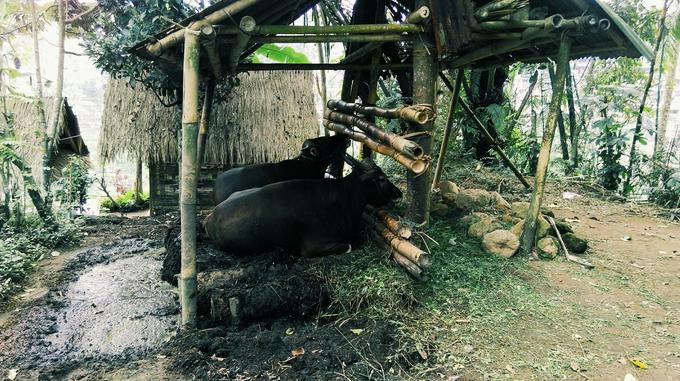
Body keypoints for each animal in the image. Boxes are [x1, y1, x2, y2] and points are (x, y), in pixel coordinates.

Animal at [205, 159, 402, 256]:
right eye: (382, 178)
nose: (399, 193)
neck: (343, 199)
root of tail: (210, 216)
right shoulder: (313, 246)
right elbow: (349, 246)